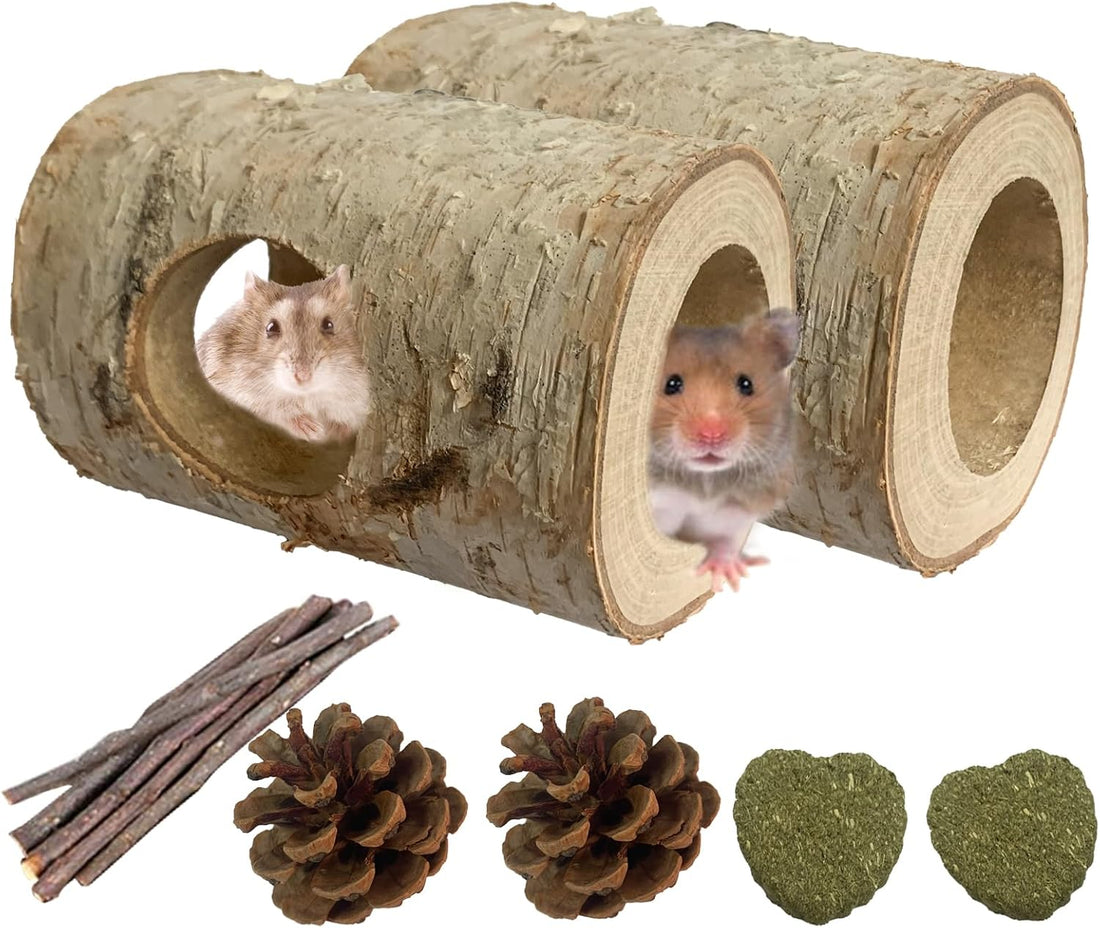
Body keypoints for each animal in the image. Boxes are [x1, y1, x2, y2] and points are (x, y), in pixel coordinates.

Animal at [196, 265, 371, 443]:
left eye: (329, 324)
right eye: (271, 327)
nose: (303, 377)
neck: (306, 395)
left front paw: (334, 430)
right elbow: (275, 410)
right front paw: (313, 430)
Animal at [648, 309, 800, 591]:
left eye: (746, 384)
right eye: (671, 384)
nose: (712, 434)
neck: (705, 481)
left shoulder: (739, 510)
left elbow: (725, 542)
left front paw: (728, 575)